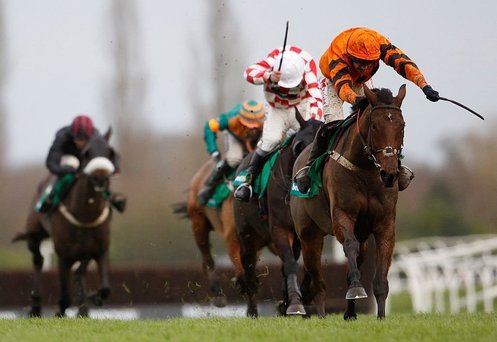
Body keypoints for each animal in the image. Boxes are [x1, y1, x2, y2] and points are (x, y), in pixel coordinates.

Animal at [12, 129, 117, 318]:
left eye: (110, 153)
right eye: (87, 154)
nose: (100, 178)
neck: (85, 214)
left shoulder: (100, 250)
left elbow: (105, 289)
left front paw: (91, 299)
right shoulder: (63, 254)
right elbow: (65, 294)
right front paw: (61, 310)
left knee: (79, 272)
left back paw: (83, 308)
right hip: (34, 235)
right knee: (38, 260)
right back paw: (35, 306)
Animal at [233, 110, 322, 318]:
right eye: (300, 146)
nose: (305, 180)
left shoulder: (306, 233)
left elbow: (307, 265)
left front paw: (298, 299)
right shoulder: (280, 228)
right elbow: (290, 264)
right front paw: (295, 304)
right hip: (246, 235)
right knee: (248, 269)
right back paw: (252, 310)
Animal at [288, 84, 404, 320]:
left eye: (402, 125)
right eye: (374, 125)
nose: (389, 174)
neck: (366, 170)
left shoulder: (385, 223)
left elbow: (380, 277)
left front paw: (381, 316)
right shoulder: (342, 215)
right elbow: (349, 245)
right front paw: (356, 288)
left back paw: (350, 313)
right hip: (309, 236)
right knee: (318, 282)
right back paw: (321, 313)